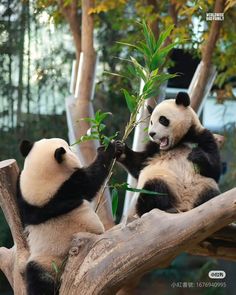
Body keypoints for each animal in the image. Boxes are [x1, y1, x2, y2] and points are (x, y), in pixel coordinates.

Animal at [16, 139, 118, 295]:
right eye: (69, 147)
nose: (73, 147)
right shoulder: (70, 187)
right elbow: (91, 181)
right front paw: (108, 149)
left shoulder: (26, 203)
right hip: (46, 261)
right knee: (38, 278)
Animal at [116, 92, 221, 220]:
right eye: (151, 122)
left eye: (162, 119)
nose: (151, 133)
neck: (179, 142)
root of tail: (183, 207)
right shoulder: (154, 149)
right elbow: (139, 165)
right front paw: (120, 149)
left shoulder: (203, 137)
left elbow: (215, 170)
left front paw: (197, 155)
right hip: (164, 181)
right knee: (154, 189)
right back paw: (162, 208)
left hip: (201, 186)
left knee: (211, 195)